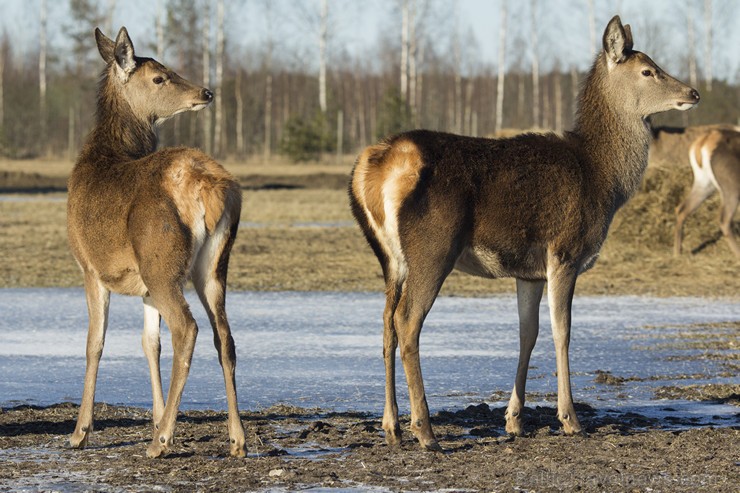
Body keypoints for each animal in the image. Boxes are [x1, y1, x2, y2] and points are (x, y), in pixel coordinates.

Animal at [66, 26, 246, 458]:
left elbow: (94, 342)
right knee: (224, 336)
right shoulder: (142, 285)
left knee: (188, 329)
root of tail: (210, 187)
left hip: (161, 259)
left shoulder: (90, 266)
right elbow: (150, 343)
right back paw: (237, 439)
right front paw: (158, 416)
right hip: (211, 265)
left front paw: (81, 430)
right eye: (160, 76)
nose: (206, 91)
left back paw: (160, 442)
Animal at [350, 15, 696, 450]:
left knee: (385, 322)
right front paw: (570, 419)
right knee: (407, 321)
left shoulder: (528, 271)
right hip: (433, 246)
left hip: (389, 257)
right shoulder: (565, 250)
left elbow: (527, 333)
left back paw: (392, 426)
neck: (604, 180)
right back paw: (425, 430)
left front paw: (514, 420)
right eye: (648, 70)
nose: (693, 92)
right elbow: (562, 331)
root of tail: (373, 167)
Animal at [676, 127, 740, 256]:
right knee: (724, 220)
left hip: (704, 185)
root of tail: (703, 143)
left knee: (681, 209)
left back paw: (677, 253)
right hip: (732, 188)